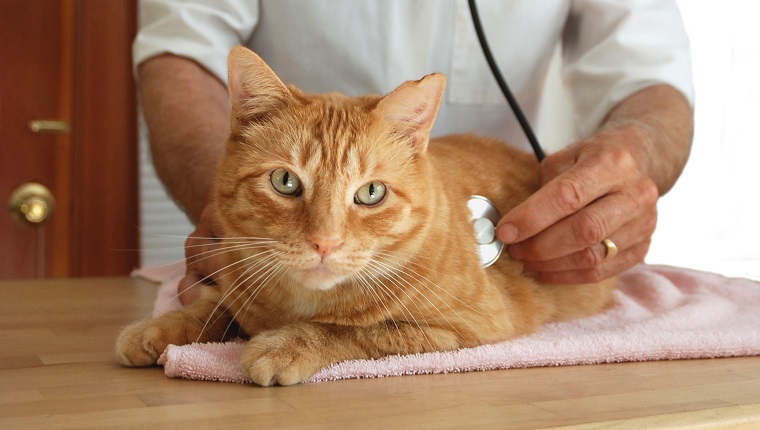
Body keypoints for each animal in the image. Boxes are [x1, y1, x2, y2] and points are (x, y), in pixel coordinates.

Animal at [114, 47, 612, 386]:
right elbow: (214, 305)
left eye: (371, 192)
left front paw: (285, 344)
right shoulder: (239, 279)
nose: (325, 242)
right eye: (285, 182)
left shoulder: (463, 330)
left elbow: (356, 331)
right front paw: (160, 326)